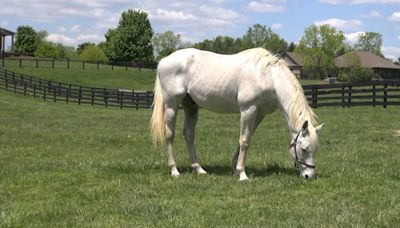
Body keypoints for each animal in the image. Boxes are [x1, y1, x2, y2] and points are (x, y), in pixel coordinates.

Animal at [150, 47, 322, 180]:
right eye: (304, 149)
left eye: (315, 149)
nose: (309, 175)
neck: (267, 77)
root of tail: (163, 61)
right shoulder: (248, 110)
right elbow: (245, 141)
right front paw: (242, 174)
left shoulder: (259, 113)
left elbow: (246, 138)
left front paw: (235, 168)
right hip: (171, 105)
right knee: (169, 134)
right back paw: (174, 170)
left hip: (190, 105)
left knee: (189, 134)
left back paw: (198, 169)